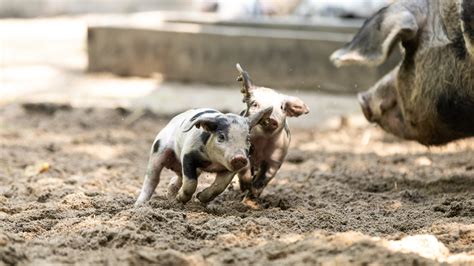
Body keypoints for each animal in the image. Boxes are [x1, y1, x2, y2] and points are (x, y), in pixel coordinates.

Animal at [135, 107, 272, 205]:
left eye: (248, 139)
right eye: (221, 136)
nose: (239, 157)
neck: (213, 161)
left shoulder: (228, 169)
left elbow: (219, 187)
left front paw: (200, 197)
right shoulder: (187, 155)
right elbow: (191, 183)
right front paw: (181, 199)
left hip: (190, 169)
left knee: (176, 179)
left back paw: (171, 198)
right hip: (158, 150)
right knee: (152, 178)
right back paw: (139, 205)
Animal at [235, 64, 310, 197]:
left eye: (281, 107)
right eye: (254, 104)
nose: (270, 118)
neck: (262, 143)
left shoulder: (277, 157)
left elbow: (267, 175)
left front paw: (255, 191)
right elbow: (244, 168)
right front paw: (245, 187)